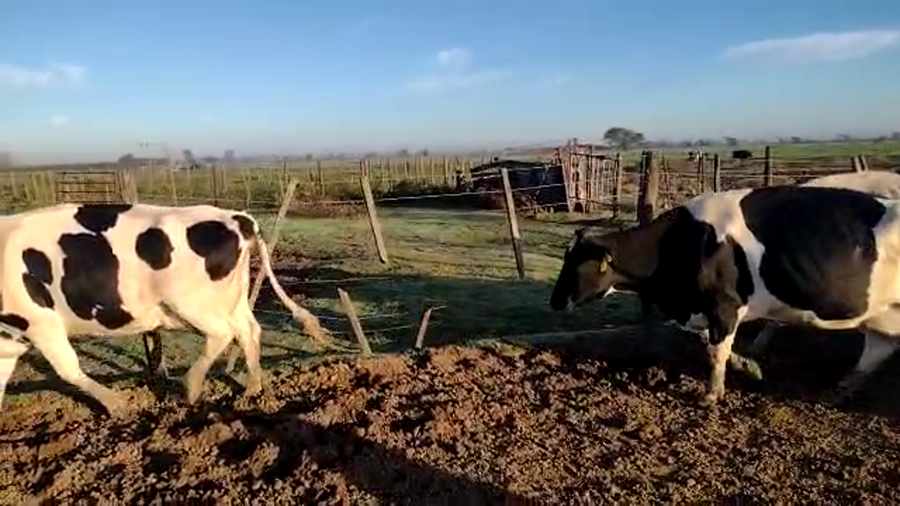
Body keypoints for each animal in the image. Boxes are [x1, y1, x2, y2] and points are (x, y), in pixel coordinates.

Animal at [0, 202, 330, 416]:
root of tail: (238, 218)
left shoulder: (40, 321)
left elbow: (68, 369)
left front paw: (118, 404)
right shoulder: (11, 337)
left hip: (191, 302)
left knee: (223, 333)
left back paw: (192, 387)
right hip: (232, 298)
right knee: (249, 331)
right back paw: (252, 390)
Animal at [550, 185, 900, 406]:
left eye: (575, 263)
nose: (554, 302)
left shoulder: (725, 304)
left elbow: (716, 350)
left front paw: (710, 394)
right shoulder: (705, 310)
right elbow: (710, 343)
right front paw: (749, 367)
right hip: (883, 316)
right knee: (876, 351)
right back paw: (838, 392)